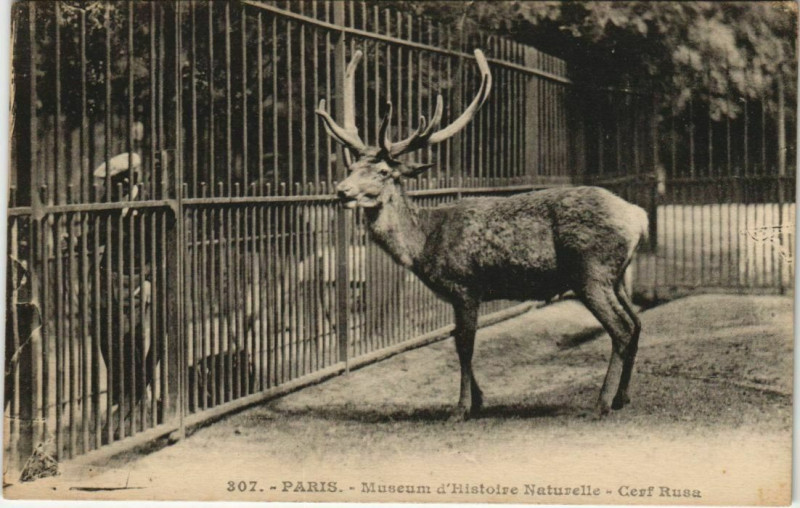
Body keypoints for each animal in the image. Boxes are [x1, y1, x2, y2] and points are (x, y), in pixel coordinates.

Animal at [316, 48, 648, 421]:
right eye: (351, 167)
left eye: (384, 171)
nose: (342, 191)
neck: (424, 243)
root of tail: (638, 217)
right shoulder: (457, 296)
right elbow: (457, 341)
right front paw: (478, 399)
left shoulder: (464, 285)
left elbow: (464, 345)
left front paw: (460, 408)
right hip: (615, 276)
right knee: (636, 323)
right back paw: (622, 398)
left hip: (591, 272)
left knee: (621, 329)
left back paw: (601, 403)